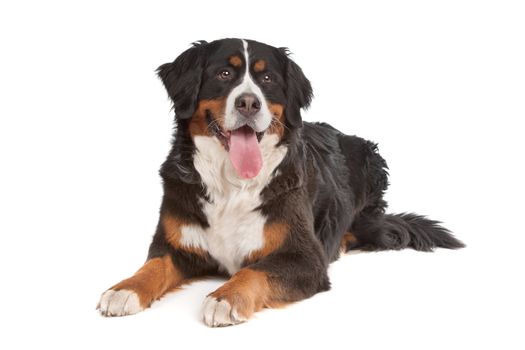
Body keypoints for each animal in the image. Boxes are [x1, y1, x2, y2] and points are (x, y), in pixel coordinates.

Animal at [95, 39, 462, 328]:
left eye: (267, 78)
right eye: (224, 74)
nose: (248, 103)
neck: (232, 182)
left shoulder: (305, 258)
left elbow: (254, 271)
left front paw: (226, 297)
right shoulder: (176, 243)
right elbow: (154, 265)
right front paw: (124, 289)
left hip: (371, 164)